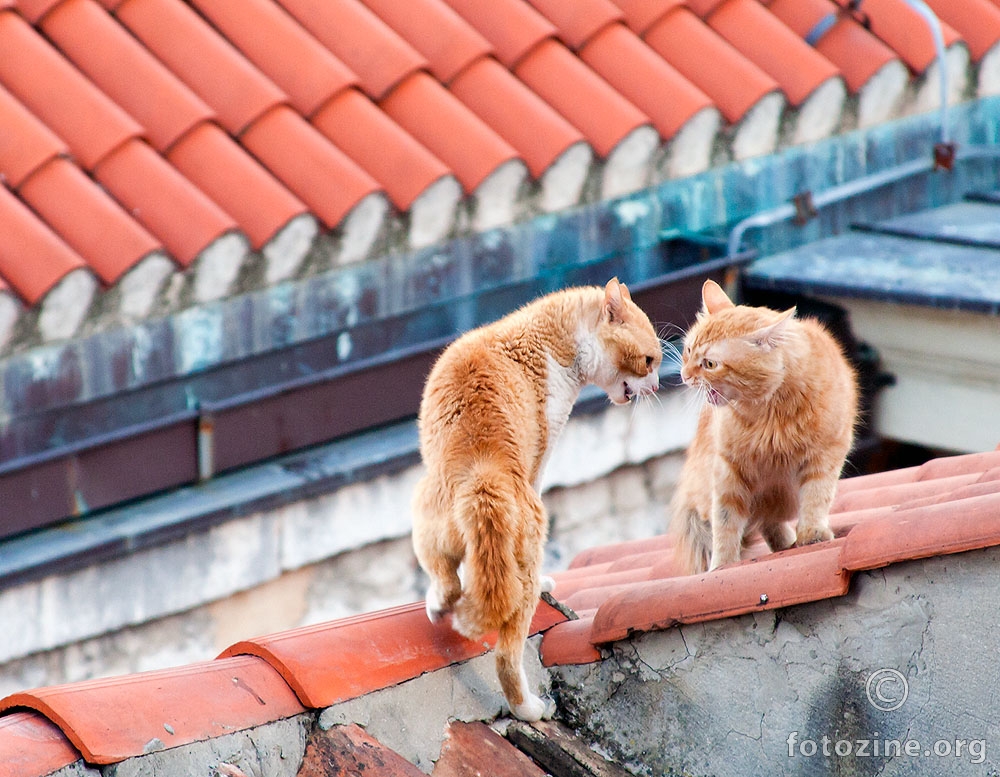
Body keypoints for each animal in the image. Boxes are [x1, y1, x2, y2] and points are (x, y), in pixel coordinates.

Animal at [414, 276, 664, 720]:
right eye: (649, 360)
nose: (656, 386)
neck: (549, 339)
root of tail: (485, 477)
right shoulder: (540, 458)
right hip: (524, 568)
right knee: (507, 654)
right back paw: (529, 707)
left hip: (424, 517)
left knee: (447, 579)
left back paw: (439, 604)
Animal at [668, 282, 856, 572]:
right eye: (688, 351)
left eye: (710, 364)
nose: (685, 376)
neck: (770, 413)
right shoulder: (728, 470)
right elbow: (725, 523)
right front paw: (722, 565)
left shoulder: (825, 455)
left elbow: (816, 497)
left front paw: (812, 534)